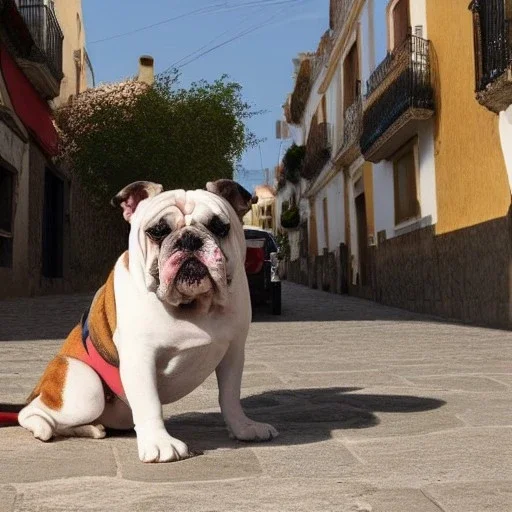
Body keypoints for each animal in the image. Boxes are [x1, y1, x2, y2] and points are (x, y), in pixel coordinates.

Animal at [18, 181, 278, 464]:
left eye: (219, 227)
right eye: (157, 231)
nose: (189, 239)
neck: (193, 306)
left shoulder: (233, 352)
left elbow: (230, 396)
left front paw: (244, 427)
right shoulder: (139, 357)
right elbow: (149, 402)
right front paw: (159, 443)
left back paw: (91, 428)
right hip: (85, 389)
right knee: (32, 412)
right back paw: (43, 427)